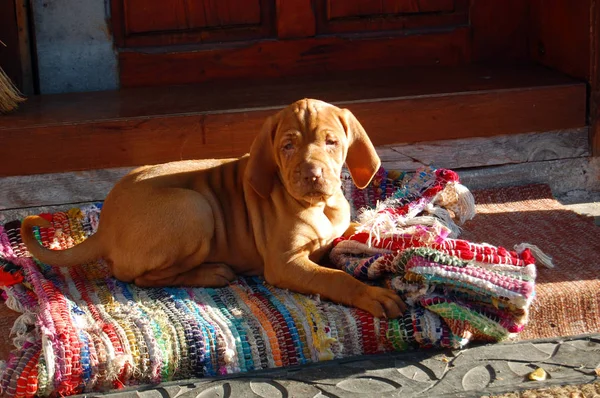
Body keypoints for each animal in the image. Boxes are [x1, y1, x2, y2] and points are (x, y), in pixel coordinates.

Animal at [22, 100, 408, 320]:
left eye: (332, 142)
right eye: (288, 146)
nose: (312, 174)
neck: (320, 206)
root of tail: (102, 227)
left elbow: (351, 242)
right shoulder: (284, 264)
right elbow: (335, 277)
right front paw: (372, 294)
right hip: (195, 207)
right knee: (141, 278)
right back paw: (212, 272)